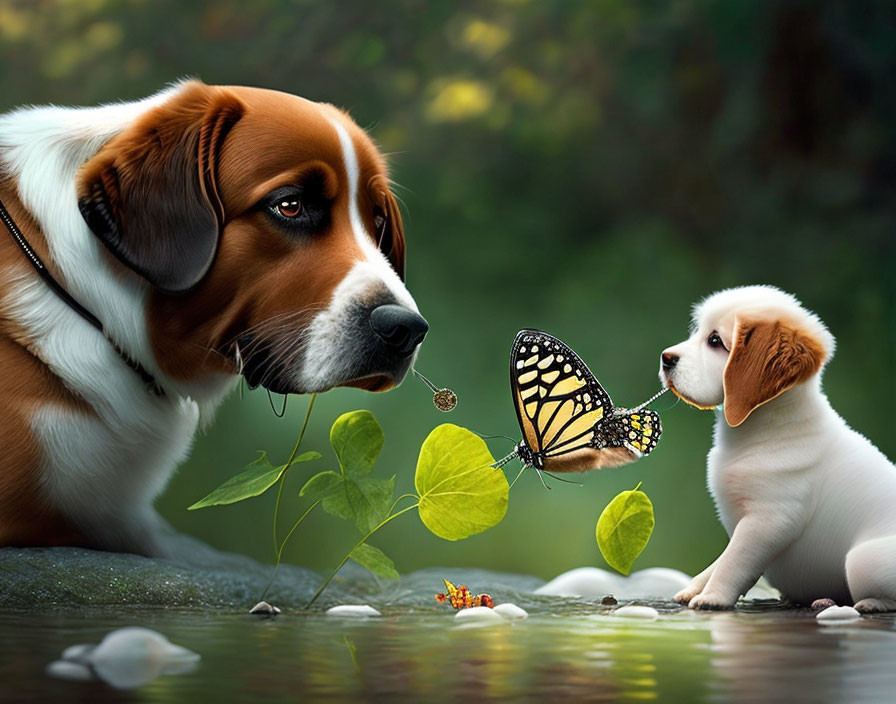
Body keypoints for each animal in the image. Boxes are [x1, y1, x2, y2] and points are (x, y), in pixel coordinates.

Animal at [656, 284, 896, 612]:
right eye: (698, 332)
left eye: (715, 341)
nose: (665, 358)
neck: (762, 430)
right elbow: (721, 560)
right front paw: (695, 587)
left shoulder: (768, 520)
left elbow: (734, 562)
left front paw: (712, 597)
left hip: (861, 560)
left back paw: (867, 603)